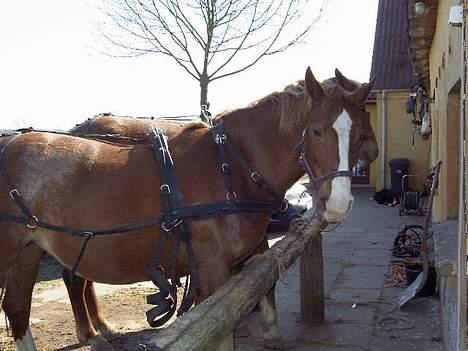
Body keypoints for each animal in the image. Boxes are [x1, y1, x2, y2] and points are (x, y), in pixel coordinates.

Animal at [0, 67, 372, 350]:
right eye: (316, 132)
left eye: (358, 135)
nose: (338, 205)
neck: (232, 166)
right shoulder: (212, 270)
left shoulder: (254, 252)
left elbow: (266, 297)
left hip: (29, 252)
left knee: (18, 306)